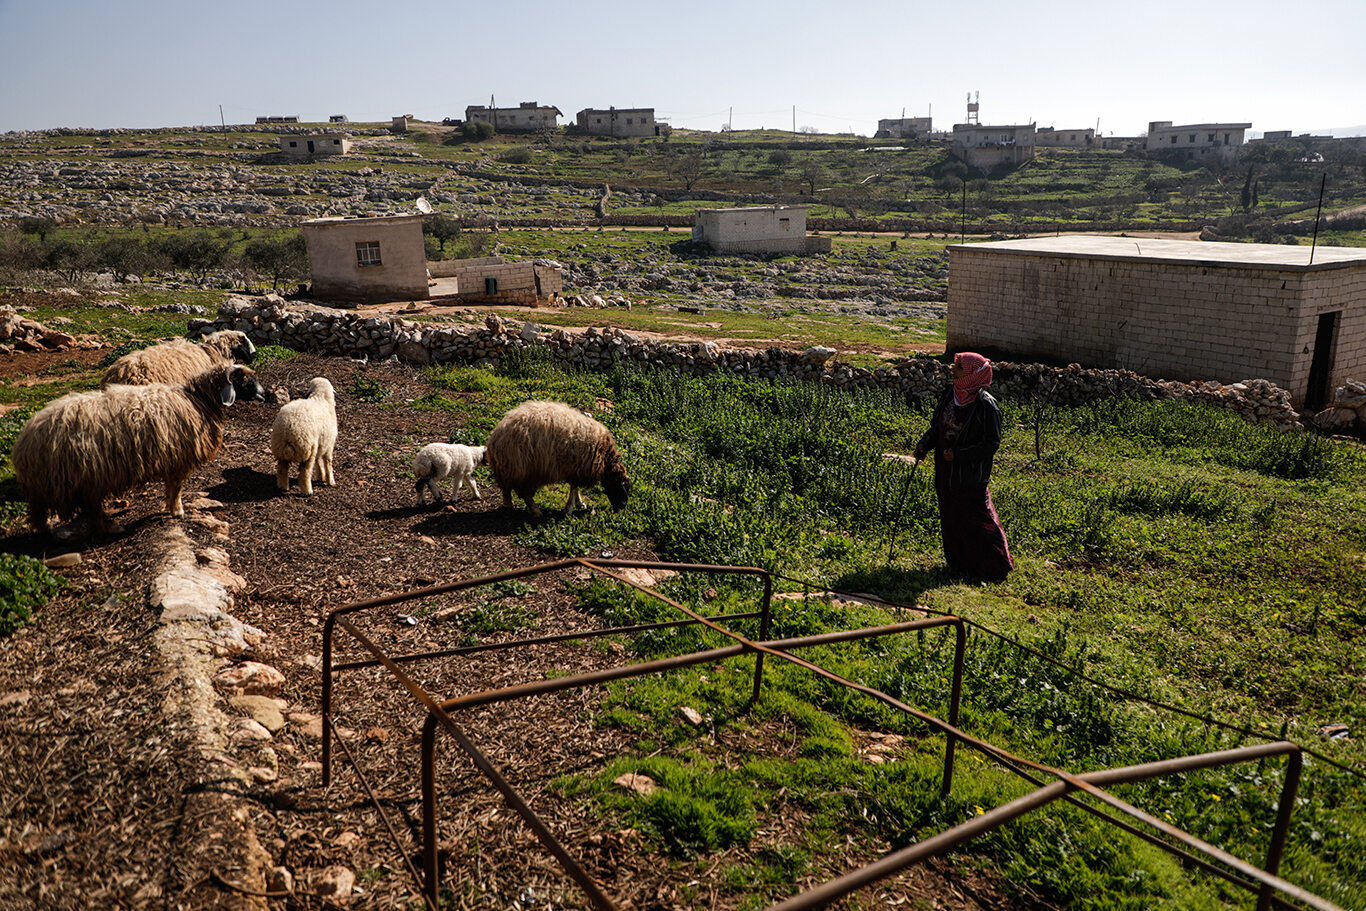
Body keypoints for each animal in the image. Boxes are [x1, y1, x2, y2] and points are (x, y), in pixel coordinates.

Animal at [13, 363, 266, 535]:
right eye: (245, 379)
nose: (265, 394)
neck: (197, 401)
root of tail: (26, 440)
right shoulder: (178, 459)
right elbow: (176, 488)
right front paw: (177, 511)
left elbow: (170, 487)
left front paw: (170, 506)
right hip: (83, 475)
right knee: (90, 509)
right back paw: (109, 528)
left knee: (46, 513)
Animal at [486, 401, 628, 519]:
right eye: (620, 486)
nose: (623, 507)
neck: (603, 455)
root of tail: (495, 439)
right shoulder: (576, 467)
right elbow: (574, 488)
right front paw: (569, 509)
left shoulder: (575, 469)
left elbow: (575, 488)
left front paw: (579, 503)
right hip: (524, 470)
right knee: (525, 494)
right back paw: (535, 511)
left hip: (508, 470)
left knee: (507, 490)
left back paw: (510, 506)